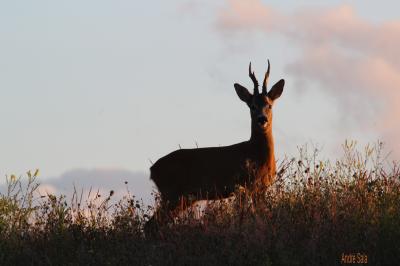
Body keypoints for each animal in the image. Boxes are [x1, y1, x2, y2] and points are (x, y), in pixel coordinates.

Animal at [148, 61, 282, 219]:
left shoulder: (262, 187)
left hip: (182, 199)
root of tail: (152, 170)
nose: (262, 119)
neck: (256, 154)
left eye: (269, 105)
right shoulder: (247, 185)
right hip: (172, 194)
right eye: (252, 106)